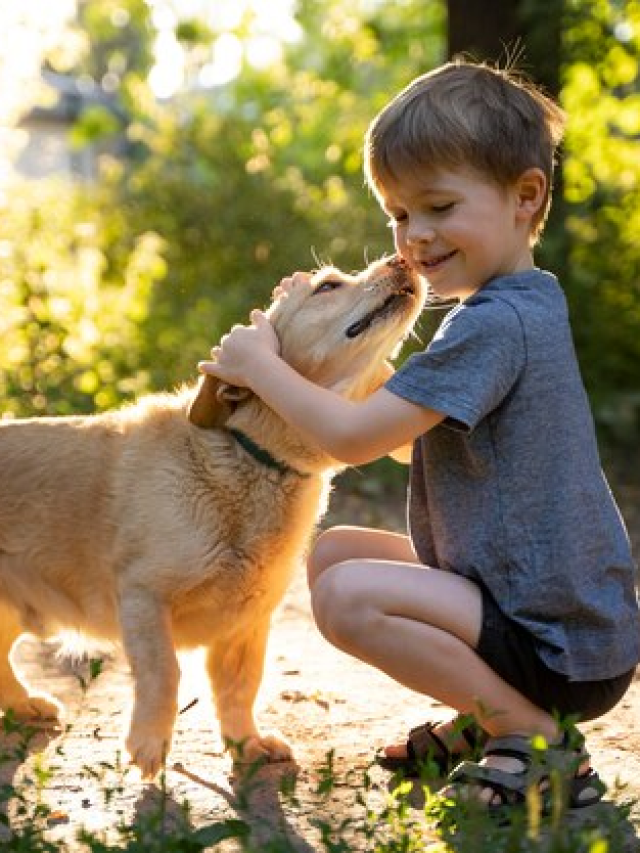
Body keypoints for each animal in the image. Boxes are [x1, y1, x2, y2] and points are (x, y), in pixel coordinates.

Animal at [0, 256, 424, 776]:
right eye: (327, 286)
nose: (401, 258)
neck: (253, 458)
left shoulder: (248, 621)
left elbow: (241, 688)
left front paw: (246, 744)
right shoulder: (142, 595)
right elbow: (165, 673)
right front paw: (149, 742)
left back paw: (23, 704)